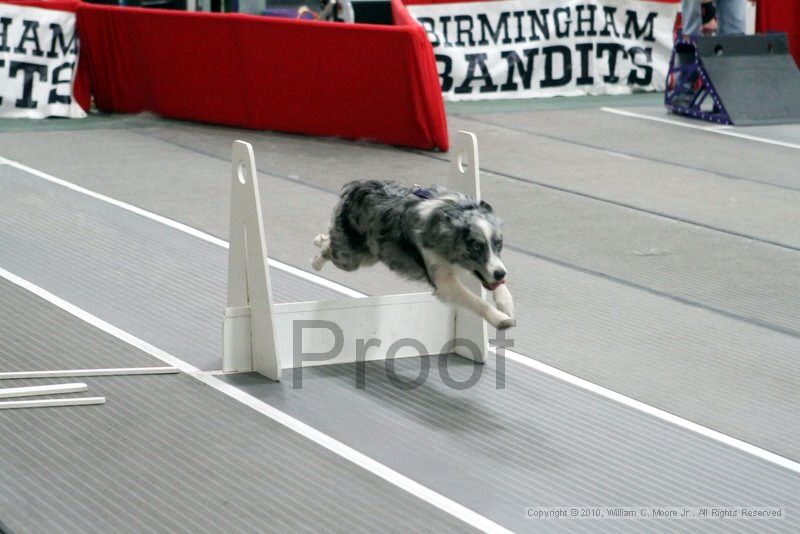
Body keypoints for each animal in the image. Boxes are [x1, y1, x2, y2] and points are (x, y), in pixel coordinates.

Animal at [310, 181, 516, 330]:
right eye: (476, 247)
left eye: (499, 243)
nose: (500, 274)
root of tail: (357, 187)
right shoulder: (445, 283)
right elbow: (475, 301)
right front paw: (500, 319)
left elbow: (498, 285)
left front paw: (506, 304)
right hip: (350, 259)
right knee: (331, 249)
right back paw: (316, 259)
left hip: (371, 254)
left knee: (331, 240)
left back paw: (319, 240)